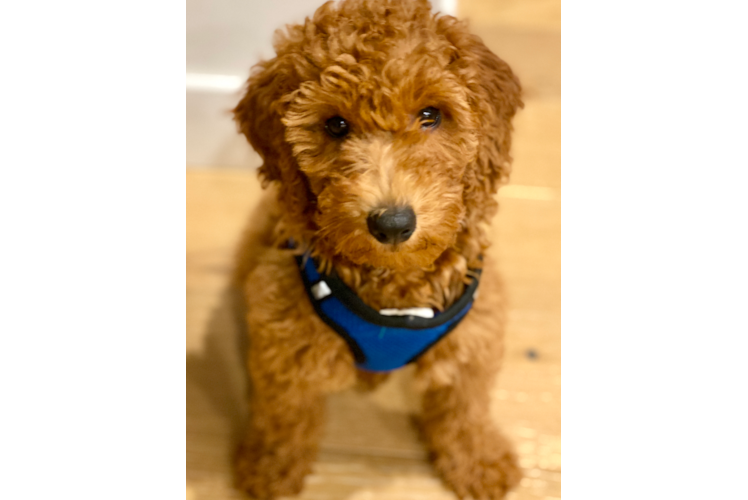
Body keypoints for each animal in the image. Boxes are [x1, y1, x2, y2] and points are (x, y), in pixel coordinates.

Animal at [232, 1, 520, 498]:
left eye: (431, 114)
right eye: (335, 124)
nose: (393, 223)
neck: (394, 290)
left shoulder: (474, 332)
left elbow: (465, 405)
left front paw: (480, 461)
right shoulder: (284, 332)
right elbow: (285, 412)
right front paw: (270, 467)